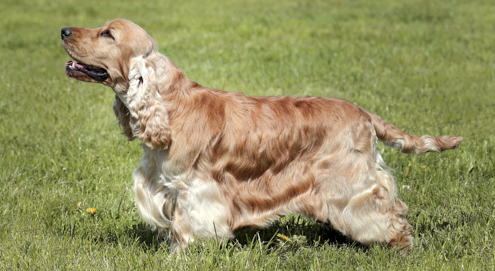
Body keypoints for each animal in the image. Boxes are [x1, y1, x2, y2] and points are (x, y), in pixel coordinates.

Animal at [60, 19, 464, 253]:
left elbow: (188, 226)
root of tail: (364, 113)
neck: (169, 105)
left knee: (389, 212)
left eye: (108, 34)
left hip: (349, 182)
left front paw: (182, 255)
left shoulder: (193, 188)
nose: (64, 31)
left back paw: (398, 245)